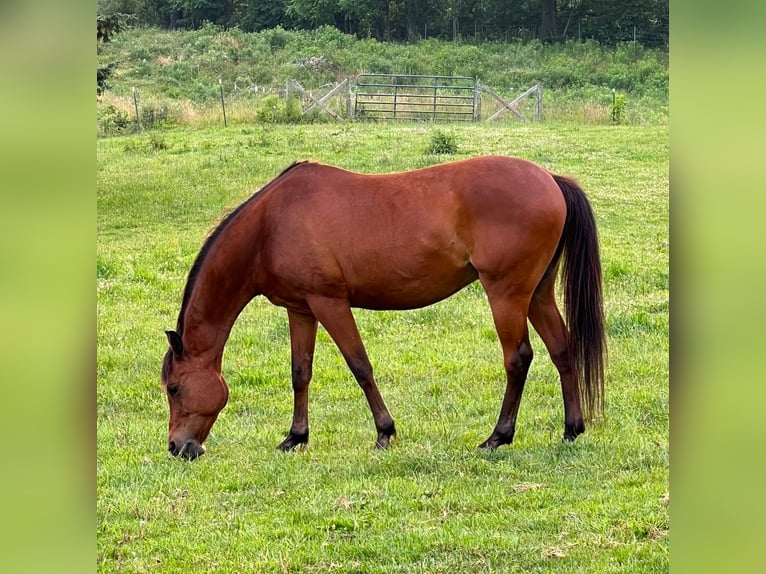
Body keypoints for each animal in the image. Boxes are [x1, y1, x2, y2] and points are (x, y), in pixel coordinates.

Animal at [161, 156, 605, 460]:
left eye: (174, 387)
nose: (179, 447)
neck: (270, 225)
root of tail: (551, 179)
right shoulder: (301, 309)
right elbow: (300, 372)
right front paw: (296, 436)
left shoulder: (330, 303)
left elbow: (360, 366)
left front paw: (384, 432)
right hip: (537, 295)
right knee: (562, 350)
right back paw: (571, 428)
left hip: (506, 294)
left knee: (518, 358)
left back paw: (498, 436)